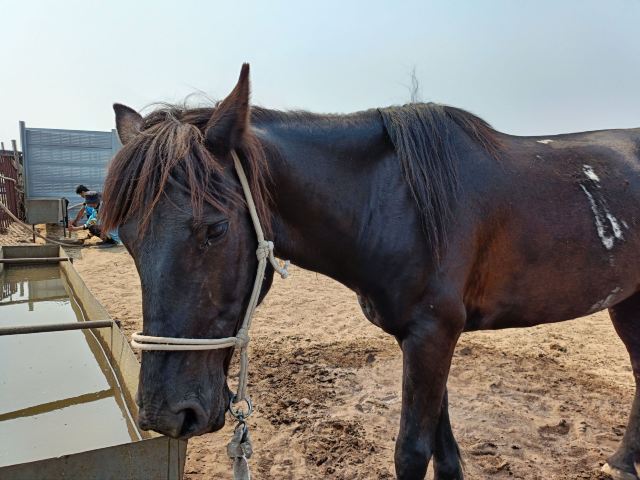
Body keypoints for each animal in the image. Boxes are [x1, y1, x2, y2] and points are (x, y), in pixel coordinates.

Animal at [101, 64, 640, 480]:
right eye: (128, 239)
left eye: (214, 229)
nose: (166, 413)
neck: (394, 203)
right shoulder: (425, 339)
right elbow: (444, 452)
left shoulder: (433, 335)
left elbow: (412, 453)